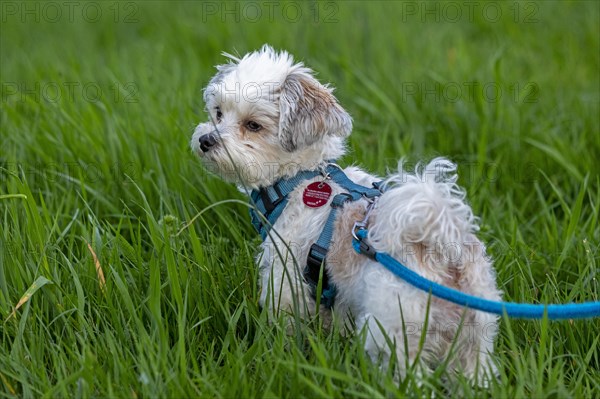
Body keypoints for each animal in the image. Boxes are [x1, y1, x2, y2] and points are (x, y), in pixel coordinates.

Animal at [191, 45, 502, 386]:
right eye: (218, 112)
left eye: (253, 126)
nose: (205, 140)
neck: (298, 180)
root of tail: (441, 247)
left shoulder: (285, 278)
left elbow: (285, 322)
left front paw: (279, 354)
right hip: (474, 339)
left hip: (393, 334)